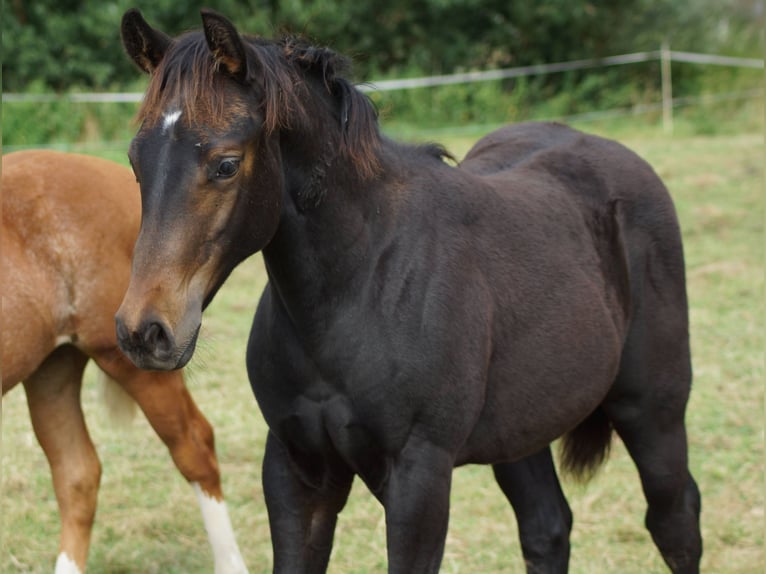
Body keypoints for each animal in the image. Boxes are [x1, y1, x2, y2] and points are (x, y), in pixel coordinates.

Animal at [115, 9, 702, 573]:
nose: (145, 330)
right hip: (522, 429)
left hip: (652, 411)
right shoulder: (295, 468)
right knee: (547, 528)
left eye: (226, 164)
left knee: (675, 520)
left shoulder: (418, 477)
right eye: (135, 162)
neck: (361, 284)